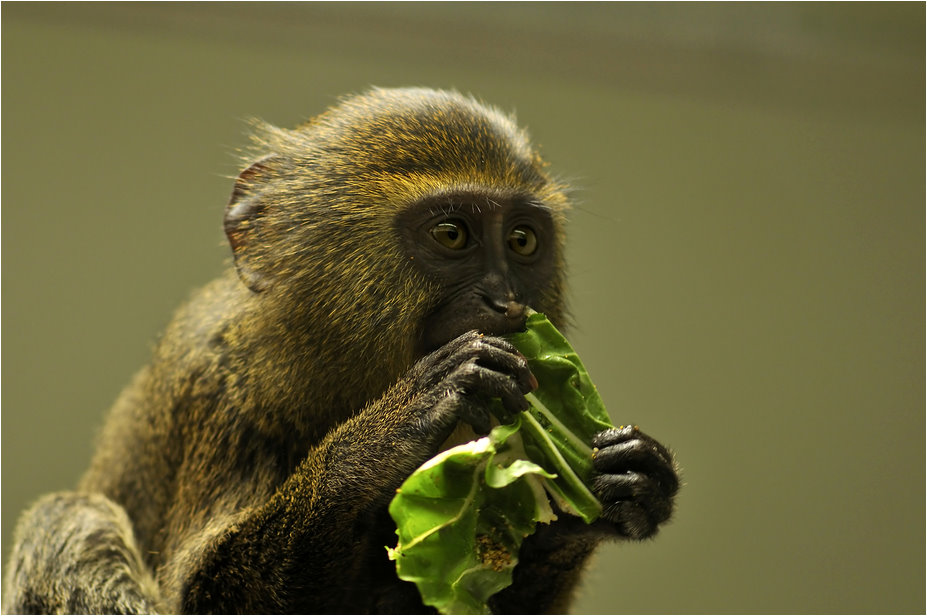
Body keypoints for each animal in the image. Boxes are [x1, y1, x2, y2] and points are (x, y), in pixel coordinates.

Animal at [3, 87, 678, 614]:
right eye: (452, 234)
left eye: (521, 241)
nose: (507, 302)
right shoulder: (213, 382)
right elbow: (200, 590)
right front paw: (391, 429)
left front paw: (616, 486)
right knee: (69, 517)